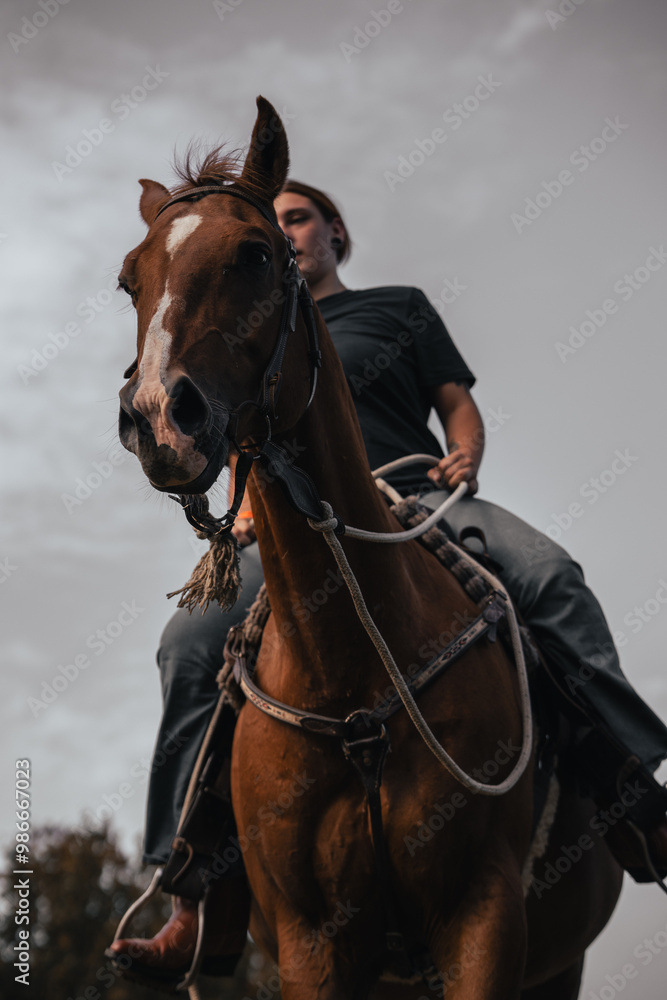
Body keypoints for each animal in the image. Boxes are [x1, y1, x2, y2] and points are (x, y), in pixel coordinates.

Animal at [116, 95, 622, 999]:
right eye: (127, 278)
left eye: (255, 253)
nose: (156, 420)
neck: (350, 670)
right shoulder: (314, 939)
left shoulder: (482, 918)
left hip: (555, 964)